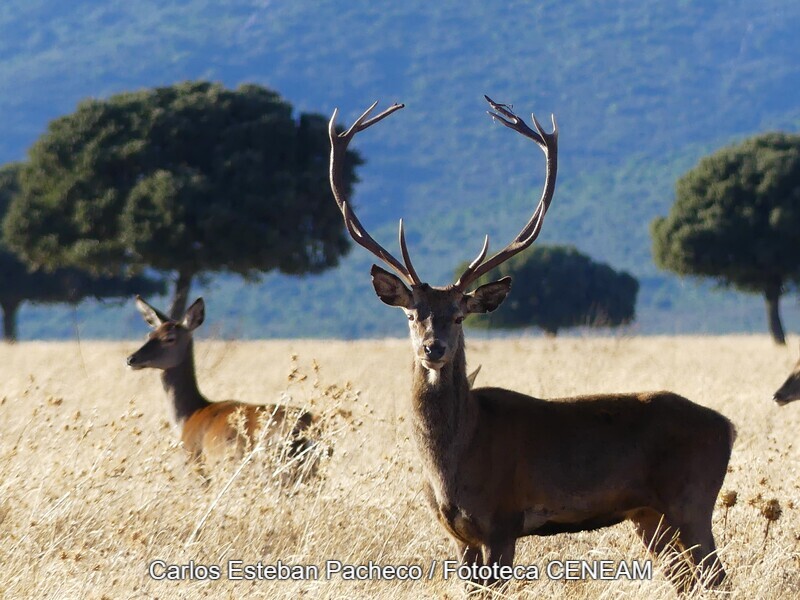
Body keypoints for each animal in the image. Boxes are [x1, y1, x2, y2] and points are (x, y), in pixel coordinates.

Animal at [326, 98, 736, 592]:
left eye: (459, 315)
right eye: (411, 314)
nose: (433, 348)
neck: (452, 463)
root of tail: (729, 427)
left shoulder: (502, 520)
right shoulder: (456, 534)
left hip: (691, 500)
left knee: (718, 576)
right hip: (648, 514)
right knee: (690, 580)